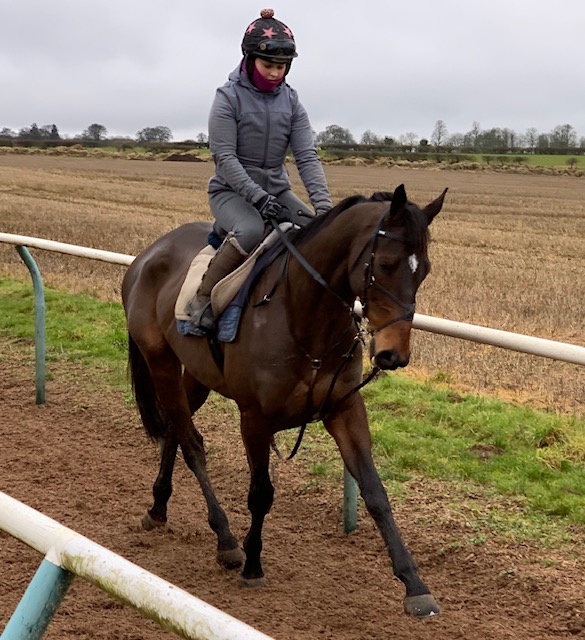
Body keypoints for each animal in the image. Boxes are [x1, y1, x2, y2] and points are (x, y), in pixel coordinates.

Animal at [121, 182, 444, 616]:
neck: (303, 315)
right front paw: (253, 565)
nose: (395, 354)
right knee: (191, 444)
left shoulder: (344, 409)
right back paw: (225, 540)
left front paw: (414, 584)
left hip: (198, 376)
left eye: (423, 269)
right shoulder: (255, 418)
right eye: (388, 263)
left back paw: (158, 508)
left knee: (175, 428)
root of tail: (147, 255)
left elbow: (376, 493)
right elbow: (261, 494)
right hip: (161, 363)